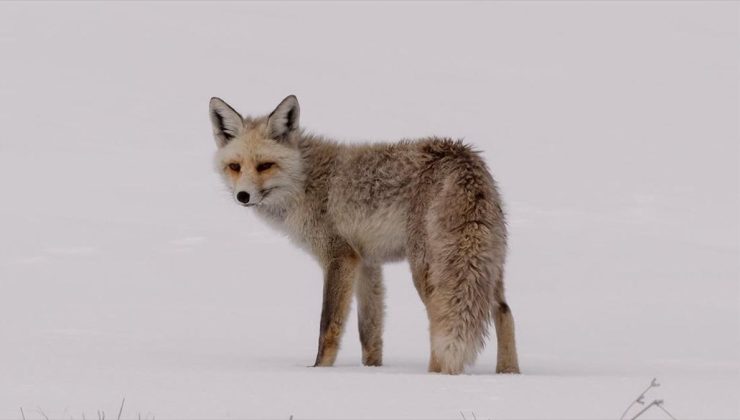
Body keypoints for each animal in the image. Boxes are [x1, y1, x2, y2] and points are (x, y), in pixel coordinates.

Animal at [208, 95, 520, 374]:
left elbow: (328, 325)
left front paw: (318, 370)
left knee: (441, 319)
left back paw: (437, 375)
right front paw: (372, 372)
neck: (306, 183)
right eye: (235, 166)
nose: (243, 196)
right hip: (487, 267)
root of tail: (463, 156)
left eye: (265, 166)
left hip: (427, 270)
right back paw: (509, 374)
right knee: (504, 312)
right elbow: (370, 332)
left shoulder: (339, 257)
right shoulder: (367, 262)